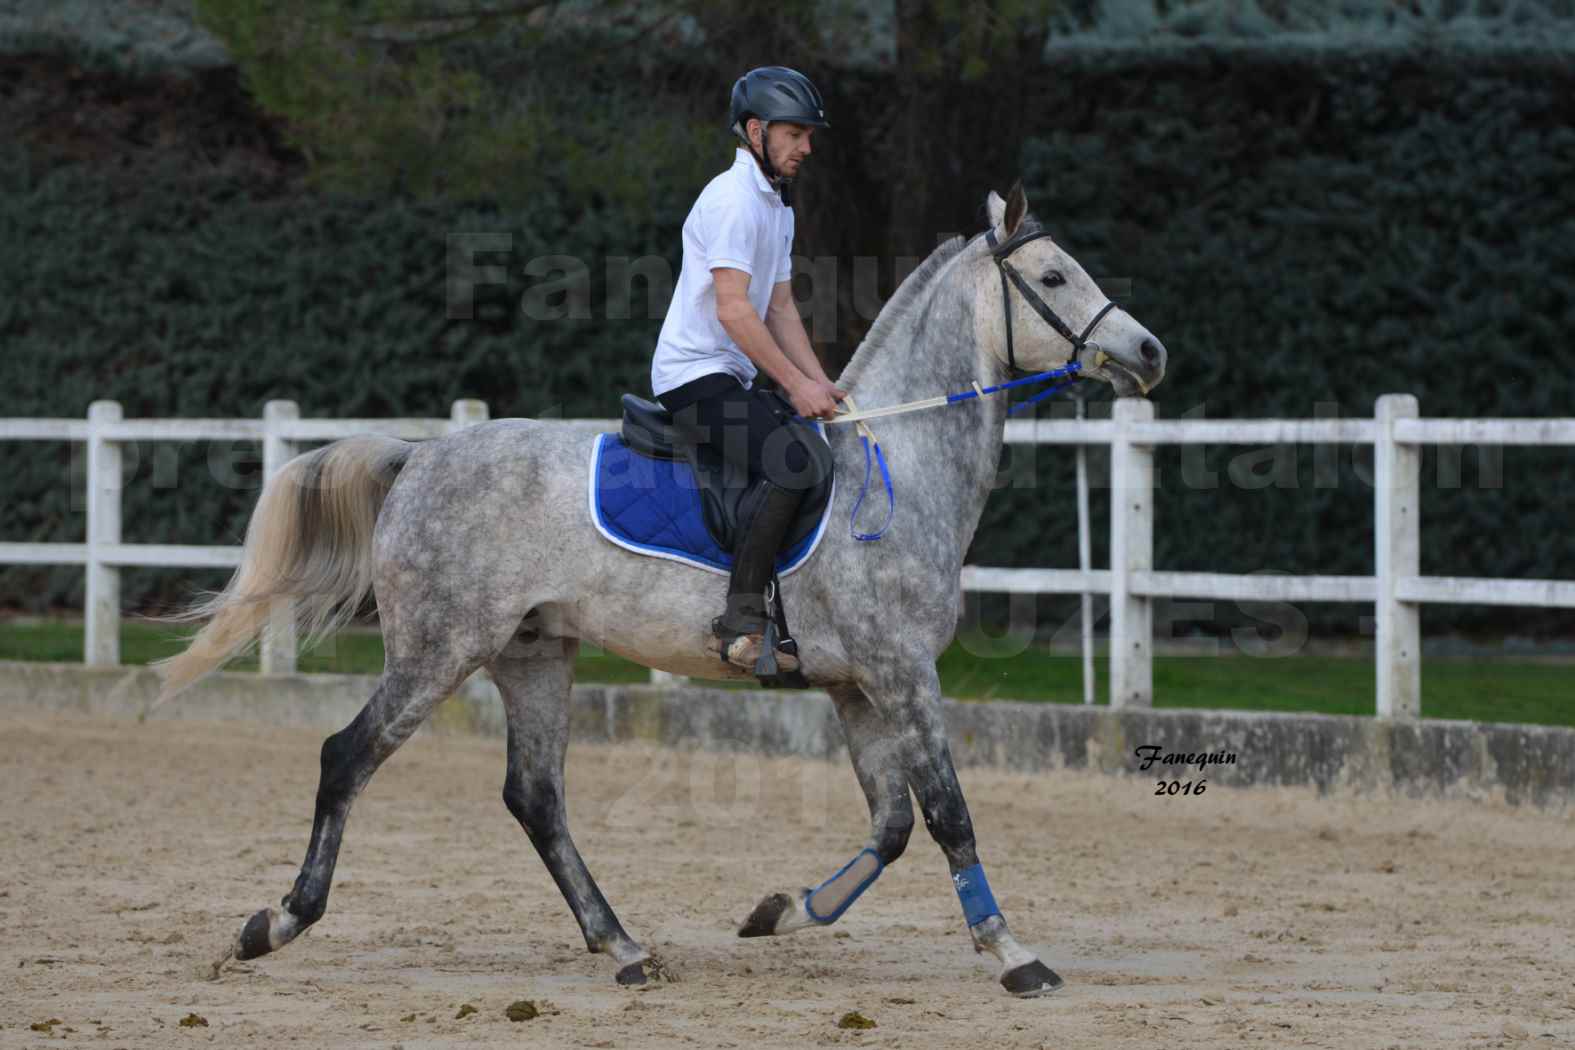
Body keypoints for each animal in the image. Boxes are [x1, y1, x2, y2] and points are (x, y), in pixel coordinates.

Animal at [159, 182, 1165, 1001]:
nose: (1149, 352)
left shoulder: (857, 687)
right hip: (438, 650)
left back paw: (624, 947)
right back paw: (274, 924)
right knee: (348, 758)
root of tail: (419, 457)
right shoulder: (901, 672)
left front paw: (778, 911)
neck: (897, 461)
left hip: (532, 655)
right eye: (1053, 275)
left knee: (536, 798)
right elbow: (949, 815)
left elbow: (889, 829)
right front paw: (1012, 955)